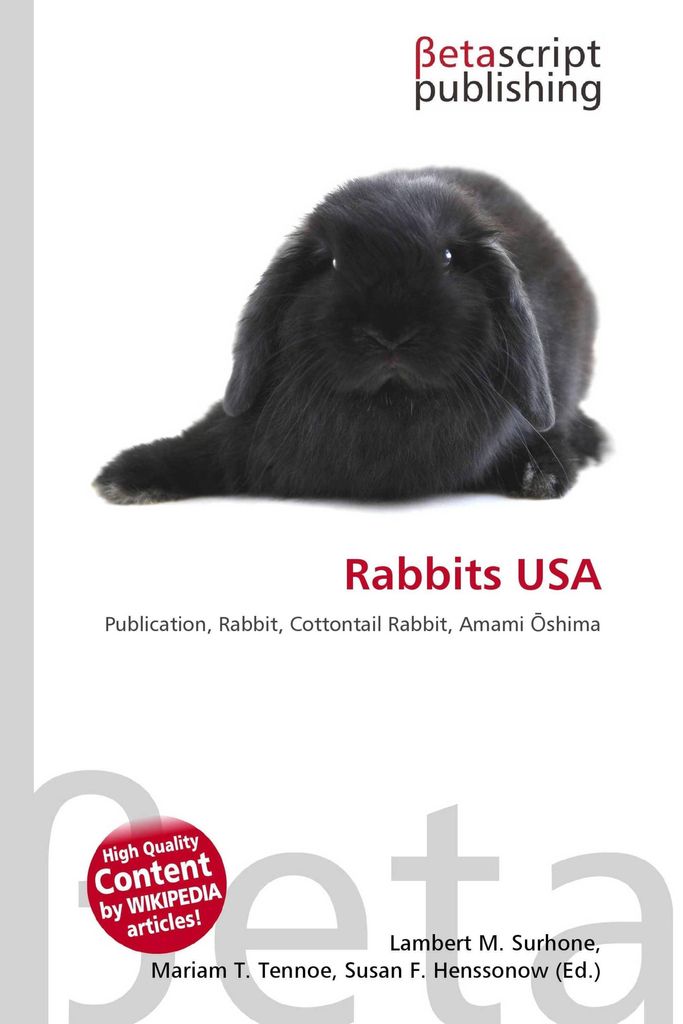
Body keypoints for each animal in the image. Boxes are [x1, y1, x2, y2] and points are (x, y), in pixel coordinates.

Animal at [95, 167, 605, 504]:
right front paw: (124, 478)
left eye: (447, 258)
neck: (388, 407)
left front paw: (542, 471)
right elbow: (198, 445)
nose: (390, 334)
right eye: (335, 262)